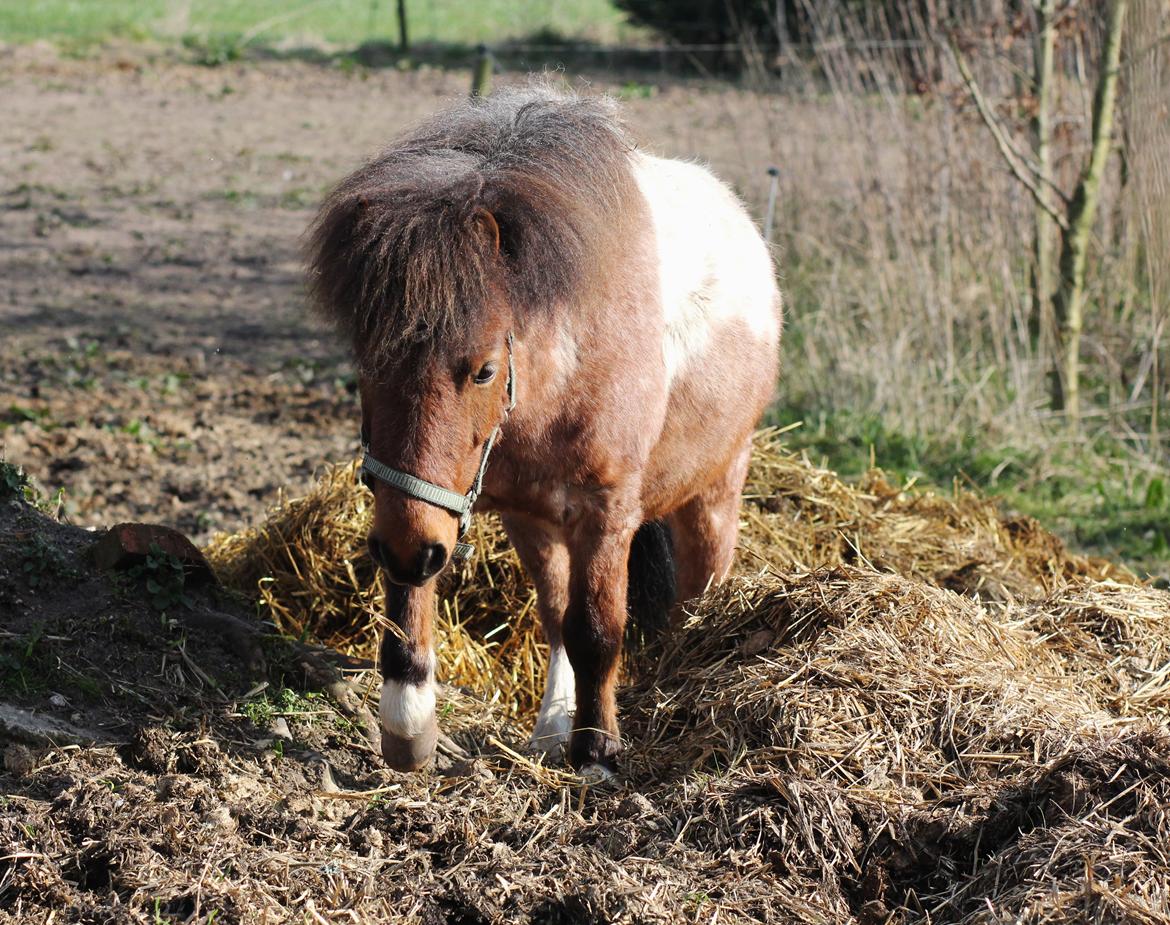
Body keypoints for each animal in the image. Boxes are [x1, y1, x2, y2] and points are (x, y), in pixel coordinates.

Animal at [306, 88, 781, 781]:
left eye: (482, 369)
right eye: (366, 364)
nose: (408, 550)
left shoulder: (606, 514)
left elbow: (598, 631)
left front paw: (598, 749)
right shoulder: (475, 510)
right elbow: (512, 616)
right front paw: (409, 722)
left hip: (717, 485)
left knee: (699, 595)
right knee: (558, 616)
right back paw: (553, 722)